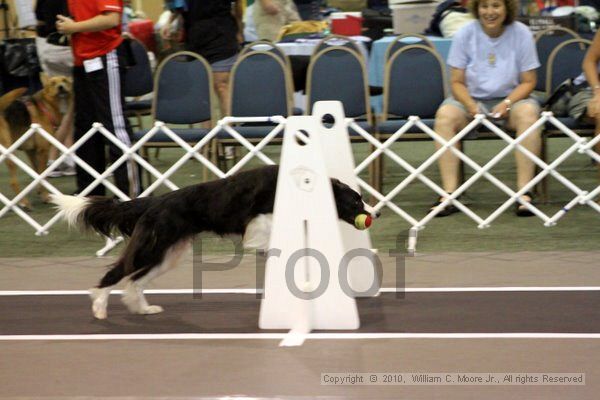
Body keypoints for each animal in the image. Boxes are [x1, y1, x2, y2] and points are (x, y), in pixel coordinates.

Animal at [52, 163, 380, 318]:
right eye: (356, 201)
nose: (374, 213)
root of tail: (152, 202)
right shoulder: (258, 217)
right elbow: (265, 231)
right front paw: (269, 247)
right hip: (151, 247)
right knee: (117, 273)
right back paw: (99, 306)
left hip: (168, 254)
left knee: (134, 281)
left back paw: (143, 309)